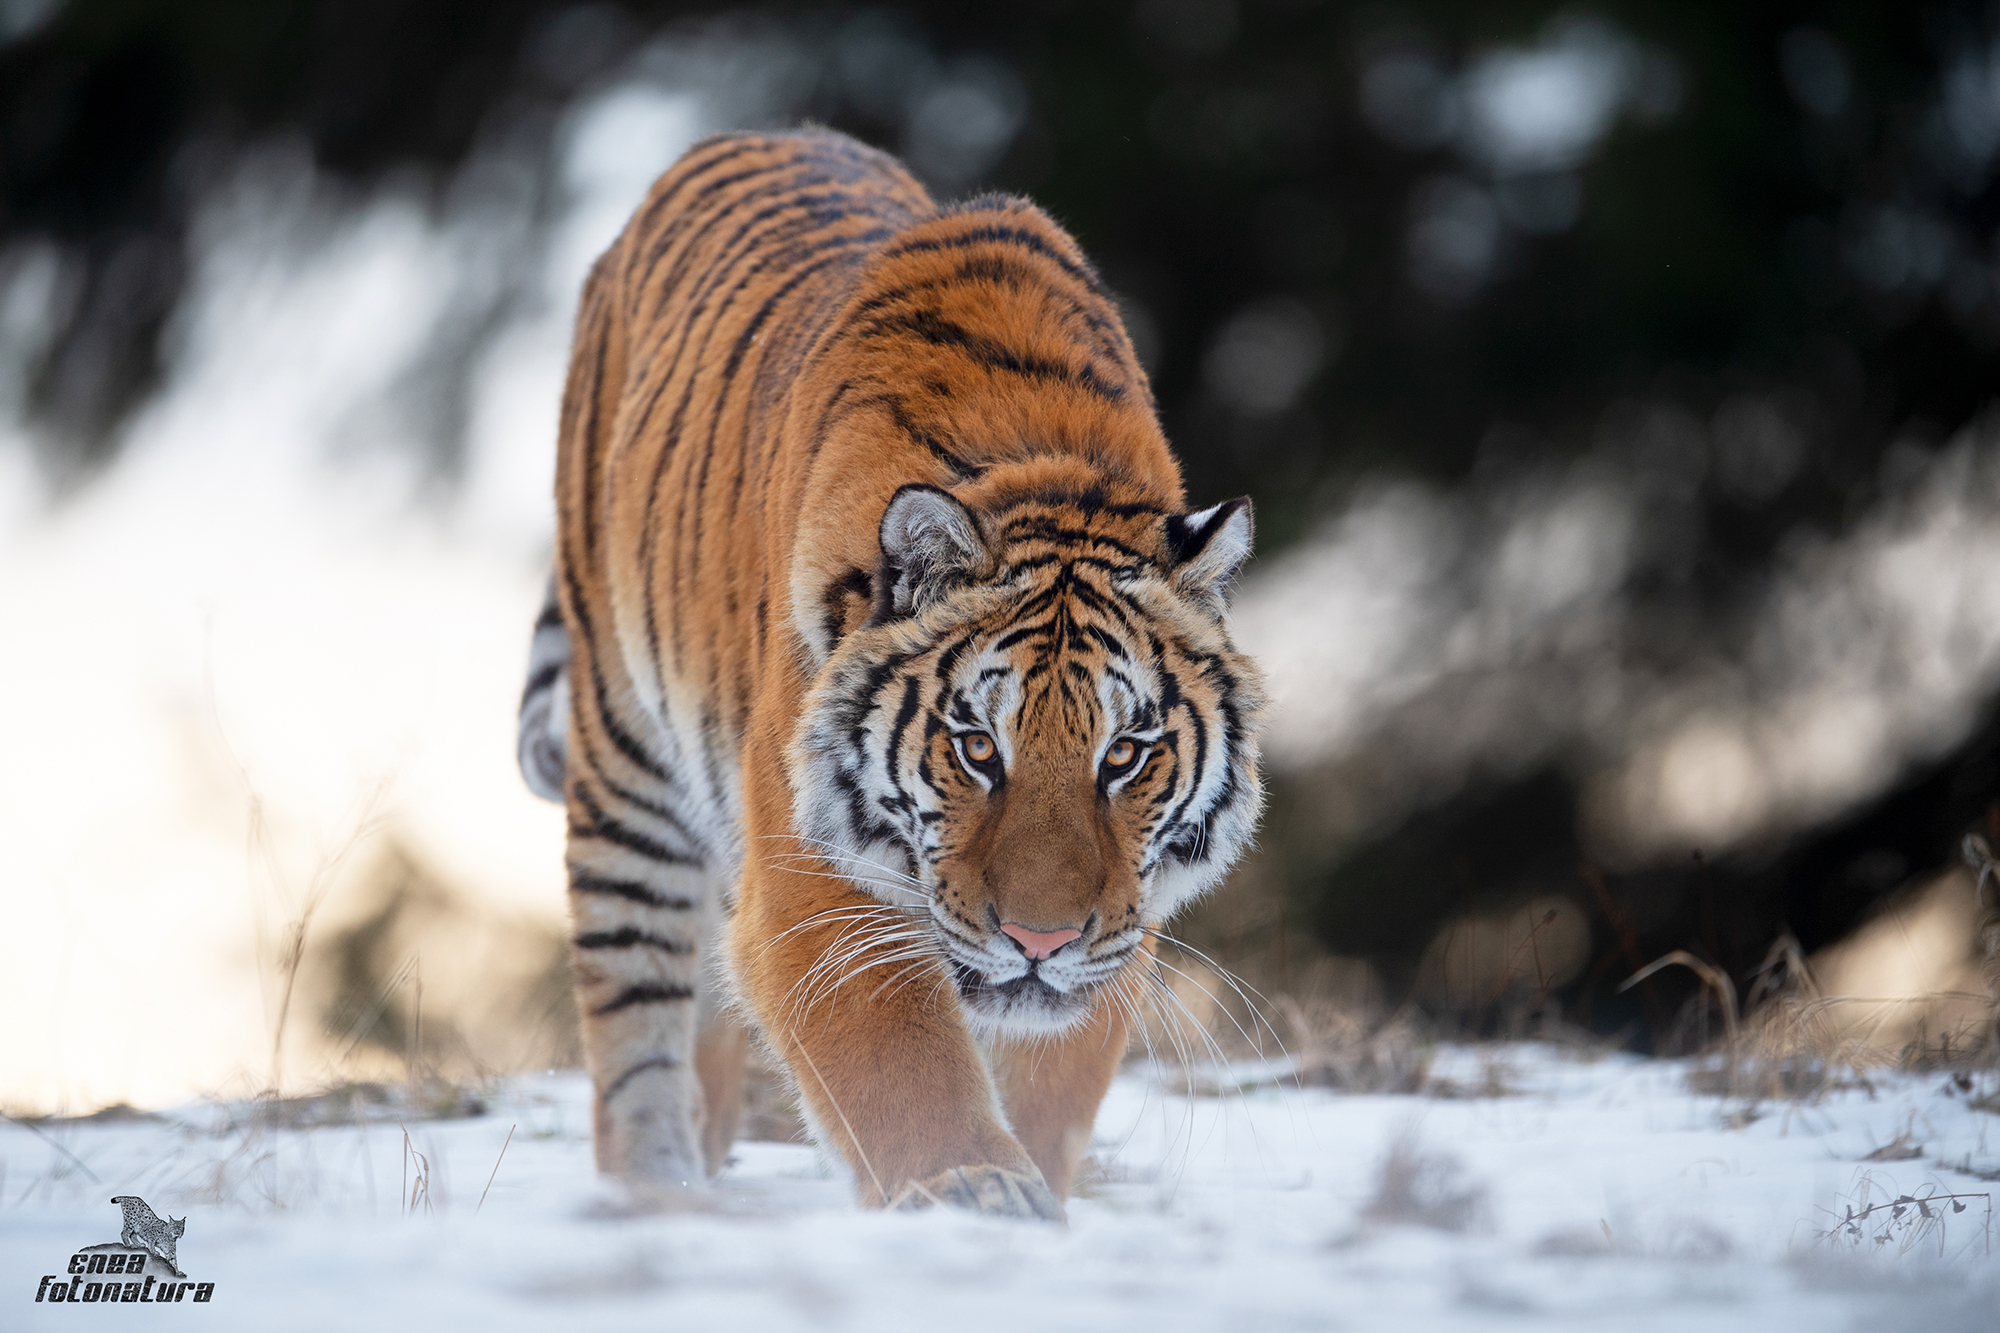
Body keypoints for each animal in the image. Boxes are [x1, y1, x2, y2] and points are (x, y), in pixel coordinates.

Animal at [517, 128, 1265, 1220]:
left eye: (1124, 754)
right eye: (976, 747)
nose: (1040, 939)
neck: (1044, 466)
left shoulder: (1124, 915)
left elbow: (1055, 1072)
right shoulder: (811, 879)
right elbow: (897, 1052)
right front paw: (975, 1187)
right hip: (626, 761)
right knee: (632, 1017)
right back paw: (659, 1195)